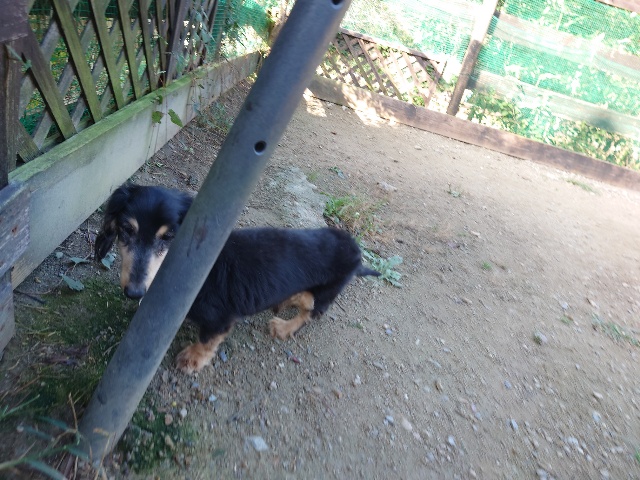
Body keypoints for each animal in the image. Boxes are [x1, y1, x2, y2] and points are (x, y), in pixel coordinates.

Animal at [95, 183, 380, 374]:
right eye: (126, 229)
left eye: (169, 237)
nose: (134, 292)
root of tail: (357, 252)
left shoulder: (220, 319)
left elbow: (207, 340)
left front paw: (192, 359)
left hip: (325, 293)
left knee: (310, 312)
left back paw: (284, 327)